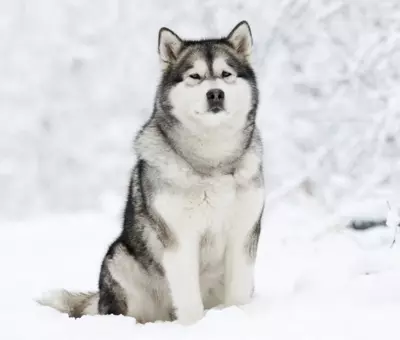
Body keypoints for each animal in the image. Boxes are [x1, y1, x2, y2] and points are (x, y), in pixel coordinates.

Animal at [39, 20, 266, 324]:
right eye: (195, 76)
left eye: (225, 74)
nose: (215, 94)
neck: (211, 161)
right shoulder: (179, 237)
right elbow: (188, 297)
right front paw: (194, 325)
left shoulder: (242, 233)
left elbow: (238, 290)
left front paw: (237, 316)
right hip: (120, 258)